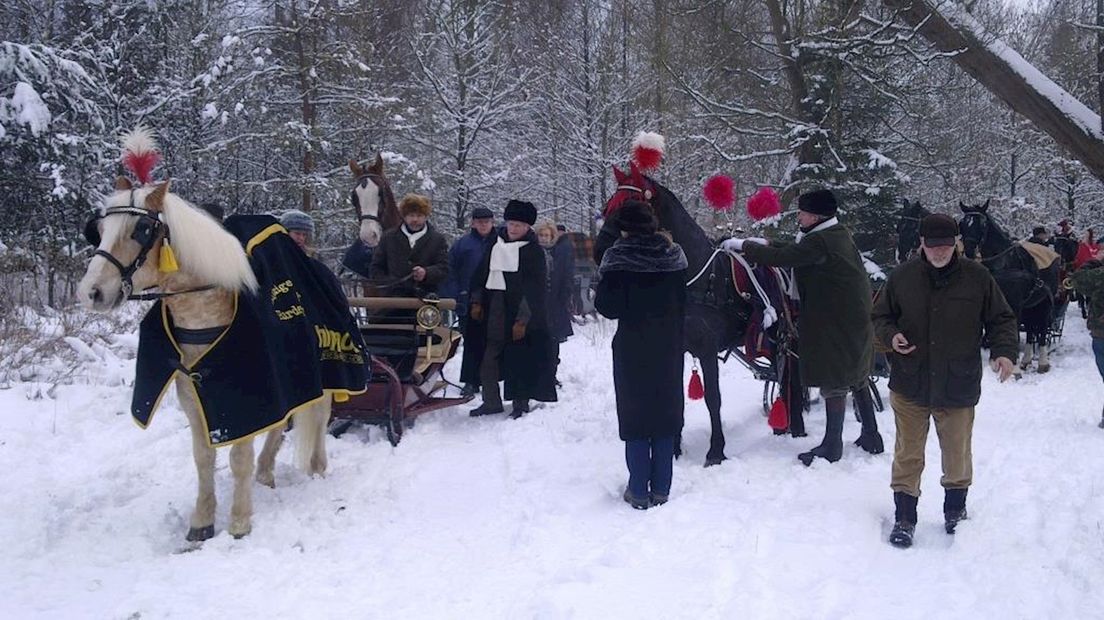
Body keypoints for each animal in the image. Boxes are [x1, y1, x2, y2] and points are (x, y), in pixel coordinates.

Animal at [596, 163, 803, 463]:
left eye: (631, 205)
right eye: (609, 206)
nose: (599, 249)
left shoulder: (706, 348)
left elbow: (713, 398)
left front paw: (716, 451)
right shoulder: (675, 347)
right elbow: (677, 397)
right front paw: (674, 447)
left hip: (786, 338)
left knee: (791, 374)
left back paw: (793, 424)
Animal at [962, 200, 1055, 368]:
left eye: (982, 224)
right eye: (962, 224)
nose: (969, 250)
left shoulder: (1014, 302)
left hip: (1044, 302)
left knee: (1042, 327)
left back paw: (1042, 361)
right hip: (1030, 305)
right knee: (1031, 328)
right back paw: (1026, 359)